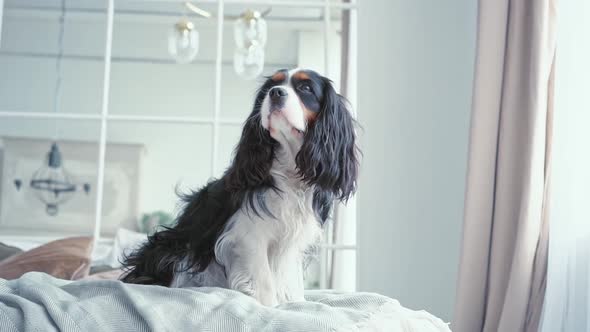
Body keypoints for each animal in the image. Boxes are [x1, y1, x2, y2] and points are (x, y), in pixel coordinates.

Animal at [122, 68, 358, 306]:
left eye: (306, 88)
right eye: (269, 87)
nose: (275, 93)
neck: (290, 167)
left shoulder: (291, 241)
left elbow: (290, 278)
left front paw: (295, 302)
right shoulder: (249, 235)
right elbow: (264, 280)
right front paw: (270, 306)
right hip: (172, 250)